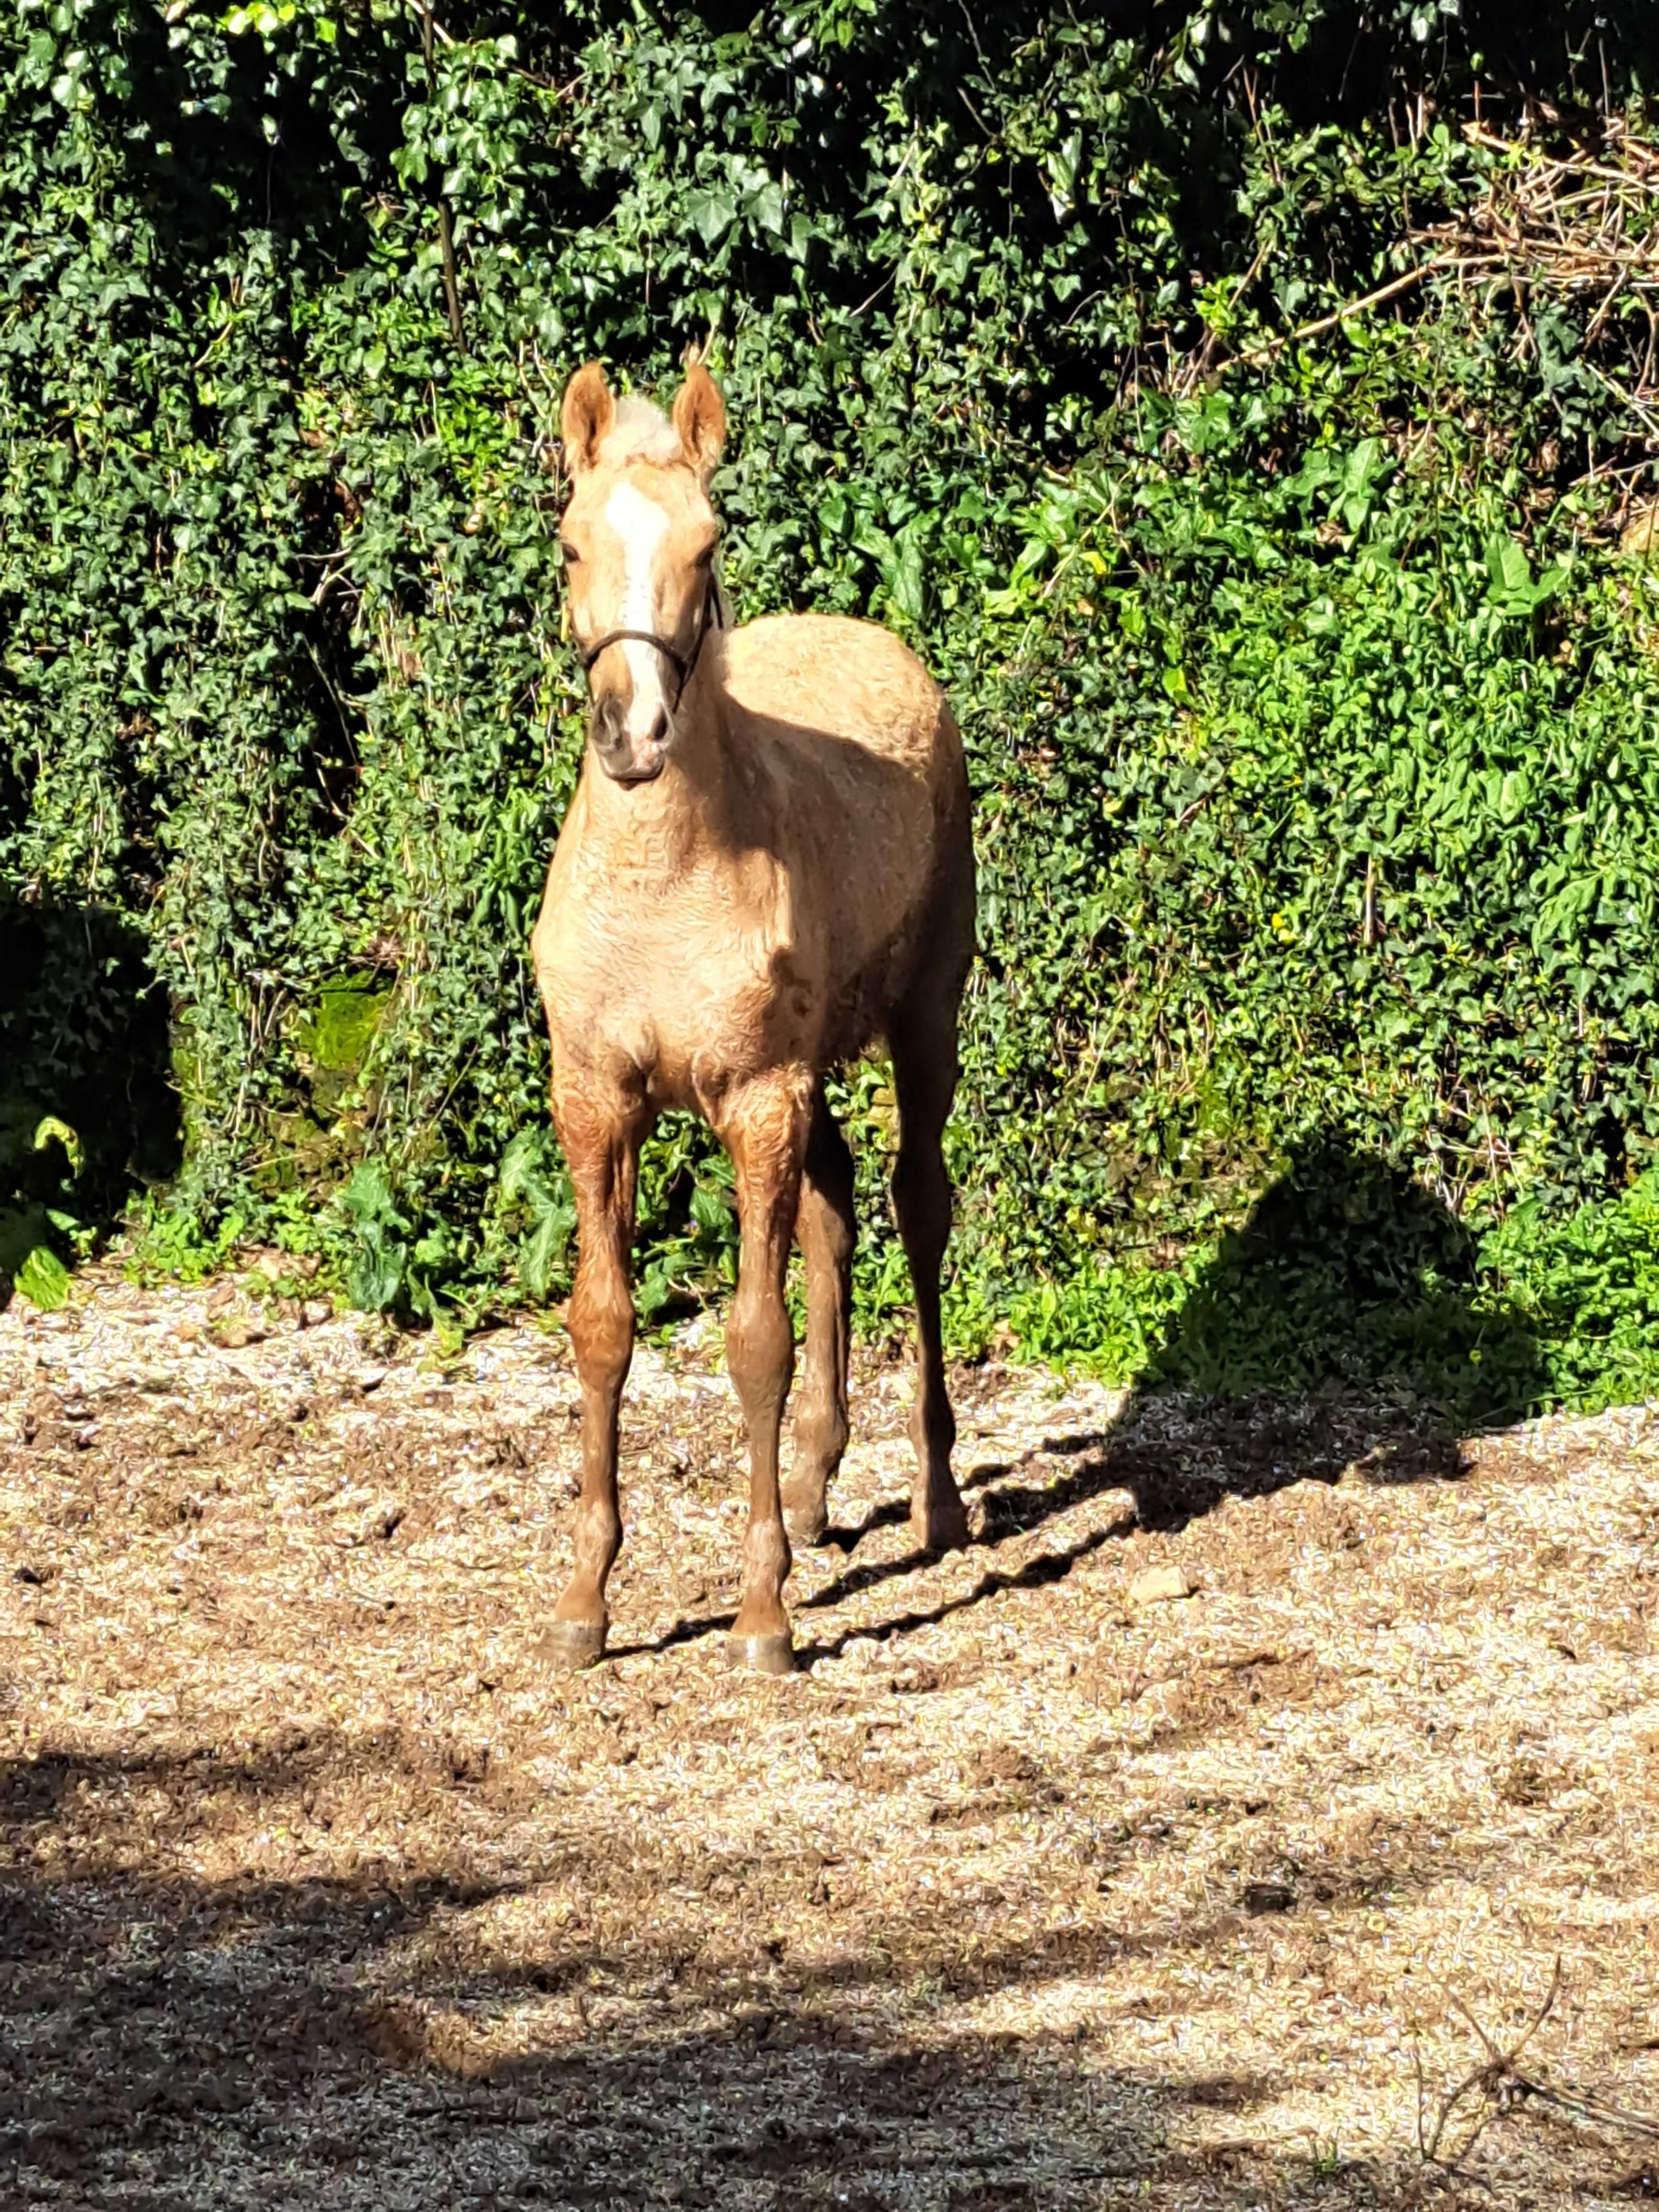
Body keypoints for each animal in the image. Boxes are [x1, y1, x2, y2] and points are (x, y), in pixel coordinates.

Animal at [533, 367, 973, 1672]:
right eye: (570, 543)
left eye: (708, 543)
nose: (633, 733)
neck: (666, 874)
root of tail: (872, 635)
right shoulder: (596, 1100)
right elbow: (602, 1325)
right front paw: (585, 1601)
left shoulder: (756, 1101)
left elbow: (755, 1341)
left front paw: (764, 1610)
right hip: (815, 1072)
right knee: (835, 1210)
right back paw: (823, 1483)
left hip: (925, 1022)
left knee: (916, 1209)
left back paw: (936, 1495)